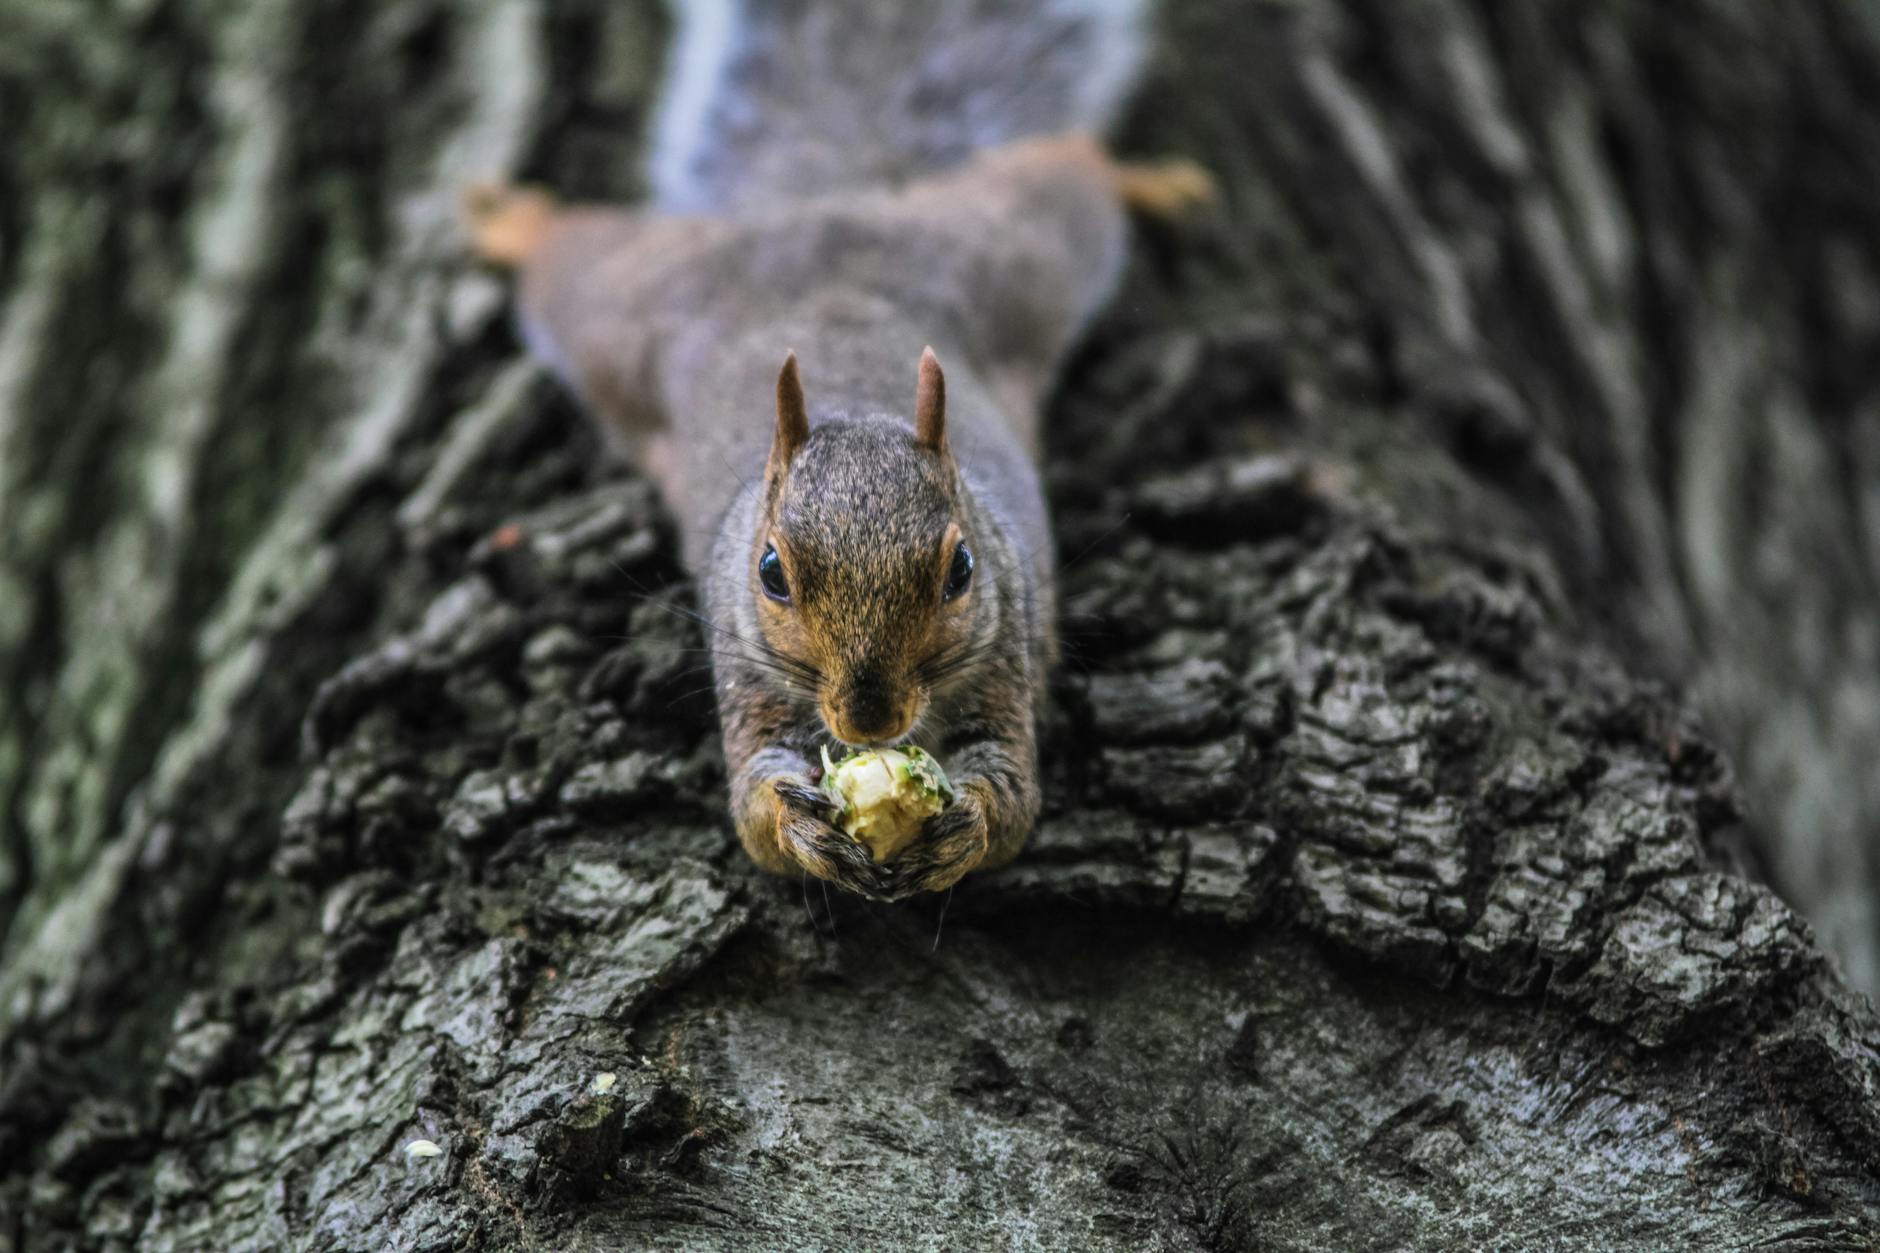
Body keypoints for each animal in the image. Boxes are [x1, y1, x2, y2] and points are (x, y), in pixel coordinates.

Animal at [467, 0, 1209, 900]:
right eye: (770, 573)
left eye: (962, 570)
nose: (869, 720)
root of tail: (823, 209)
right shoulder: (748, 672)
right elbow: (754, 811)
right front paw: (797, 824)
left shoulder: (1005, 653)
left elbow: (1014, 799)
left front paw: (965, 824)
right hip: (626, 312)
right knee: (569, 257)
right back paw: (512, 219)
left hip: (1017, 254)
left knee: (1068, 169)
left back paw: (1152, 180)